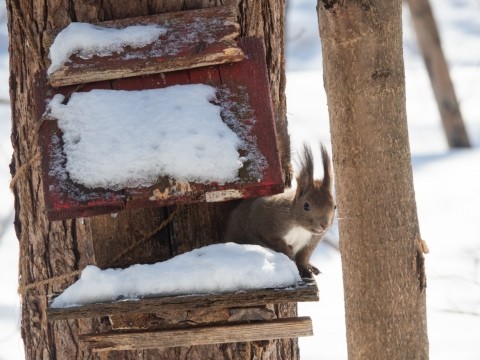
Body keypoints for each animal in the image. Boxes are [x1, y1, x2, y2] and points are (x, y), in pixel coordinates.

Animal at [224, 144, 334, 278]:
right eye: (306, 206)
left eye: (335, 206)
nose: (324, 225)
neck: (299, 226)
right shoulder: (268, 222)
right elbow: (273, 239)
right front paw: (288, 249)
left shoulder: (311, 241)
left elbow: (303, 258)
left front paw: (305, 269)